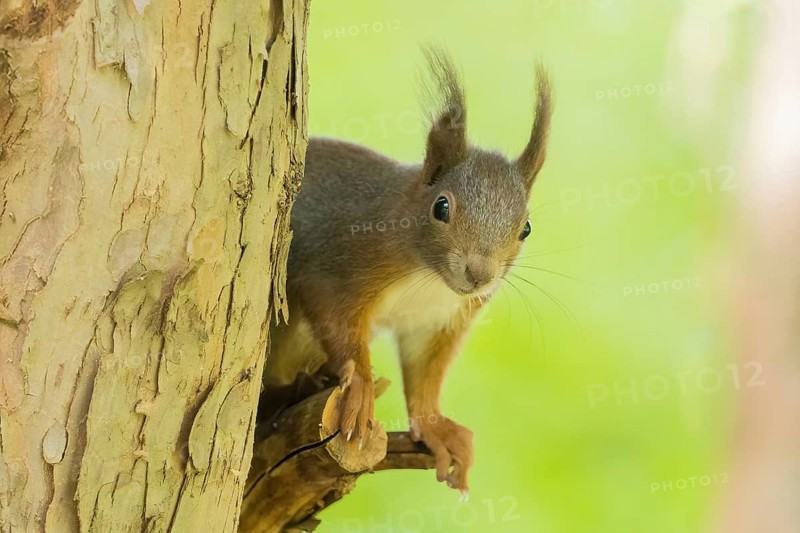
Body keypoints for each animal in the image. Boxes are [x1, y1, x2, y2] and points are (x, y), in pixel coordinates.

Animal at [265, 48, 553, 495]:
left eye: (526, 228)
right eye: (441, 207)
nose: (480, 274)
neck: (430, 278)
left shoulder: (438, 320)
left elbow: (424, 376)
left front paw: (435, 428)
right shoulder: (339, 265)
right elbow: (336, 321)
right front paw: (360, 389)